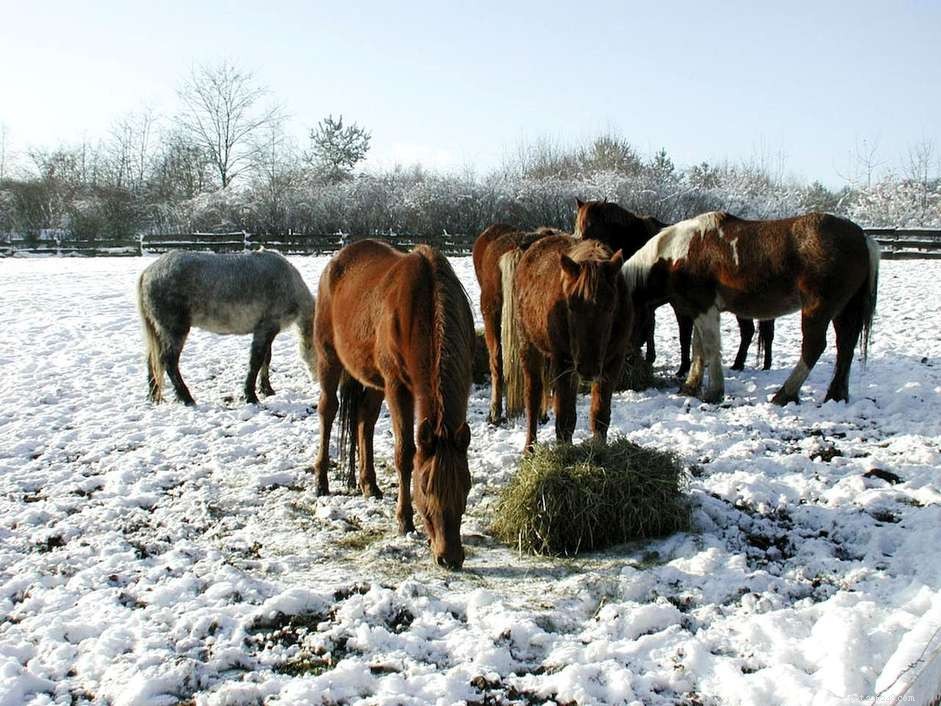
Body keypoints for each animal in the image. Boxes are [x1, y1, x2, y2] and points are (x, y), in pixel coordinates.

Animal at [138, 249, 317, 405]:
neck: (289, 282)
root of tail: (147, 272)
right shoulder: (265, 328)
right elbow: (256, 361)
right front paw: (250, 396)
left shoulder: (269, 331)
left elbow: (266, 359)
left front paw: (267, 390)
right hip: (175, 330)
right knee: (169, 361)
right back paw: (186, 398)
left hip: (160, 331)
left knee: (152, 360)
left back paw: (153, 396)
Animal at [313, 239, 475, 570]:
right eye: (425, 487)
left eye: (466, 486)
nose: (450, 558)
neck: (424, 308)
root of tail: (337, 261)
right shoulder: (398, 387)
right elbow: (405, 453)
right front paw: (404, 521)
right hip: (329, 358)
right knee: (328, 411)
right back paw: (321, 481)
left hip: (374, 381)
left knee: (365, 420)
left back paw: (369, 484)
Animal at [501, 235, 629, 451]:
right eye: (570, 306)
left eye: (611, 307)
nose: (588, 368)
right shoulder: (562, 362)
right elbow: (565, 417)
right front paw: (565, 453)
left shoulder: (613, 362)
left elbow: (600, 413)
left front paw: (599, 449)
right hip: (530, 348)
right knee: (533, 397)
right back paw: (530, 449)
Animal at [574, 198, 777, 376]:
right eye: (578, 224)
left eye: (592, 224)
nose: (579, 244)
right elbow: (650, 327)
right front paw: (650, 357)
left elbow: (675, 333)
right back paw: (763, 364)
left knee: (748, 331)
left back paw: (739, 364)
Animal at [620, 211, 879, 405]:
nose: (628, 359)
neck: (677, 253)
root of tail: (862, 237)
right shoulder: (697, 310)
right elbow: (698, 347)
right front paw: (690, 386)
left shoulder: (705, 308)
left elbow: (710, 347)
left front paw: (714, 392)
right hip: (844, 311)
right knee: (845, 348)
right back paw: (835, 396)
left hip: (818, 310)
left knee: (814, 347)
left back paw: (784, 394)